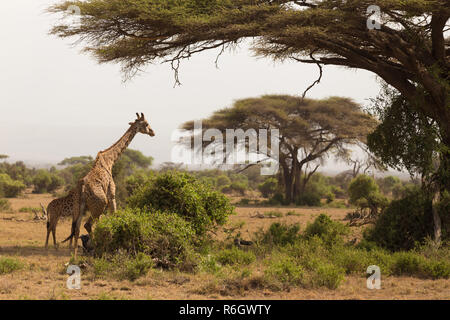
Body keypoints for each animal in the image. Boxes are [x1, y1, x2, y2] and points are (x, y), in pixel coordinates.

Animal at [63, 112, 155, 258]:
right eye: (146, 123)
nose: (152, 132)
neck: (110, 160)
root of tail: (82, 188)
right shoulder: (111, 194)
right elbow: (114, 215)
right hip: (100, 204)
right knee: (89, 225)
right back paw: (96, 248)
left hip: (79, 208)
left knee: (76, 228)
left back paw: (75, 256)